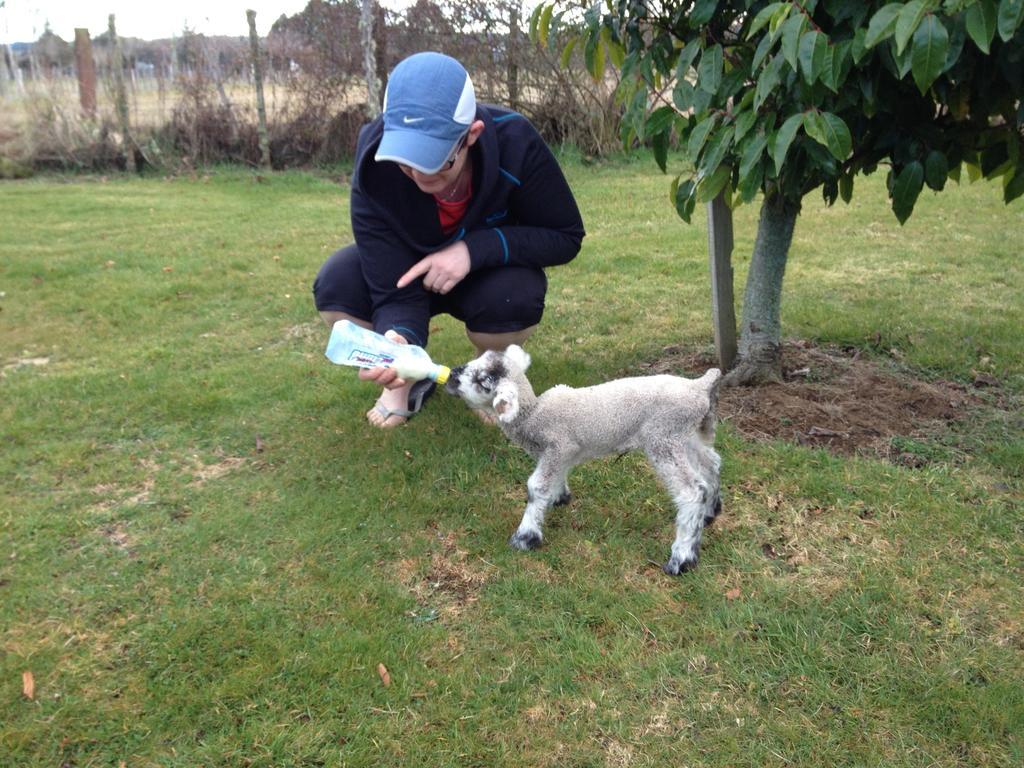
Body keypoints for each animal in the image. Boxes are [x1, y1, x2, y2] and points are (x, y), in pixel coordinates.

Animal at [444, 346, 724, 573]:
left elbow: (536, 486)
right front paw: (560, 497)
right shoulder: (560, 453)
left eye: (483, 380)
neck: (533, 415)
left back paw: (682, 559)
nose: (451, 375)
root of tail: (699, 385)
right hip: (688, 434)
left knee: (692, 491)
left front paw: (525, 537)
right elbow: (554, 477)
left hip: (663, 436)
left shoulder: (558, 445)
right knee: (712, 465)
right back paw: (710, 514)